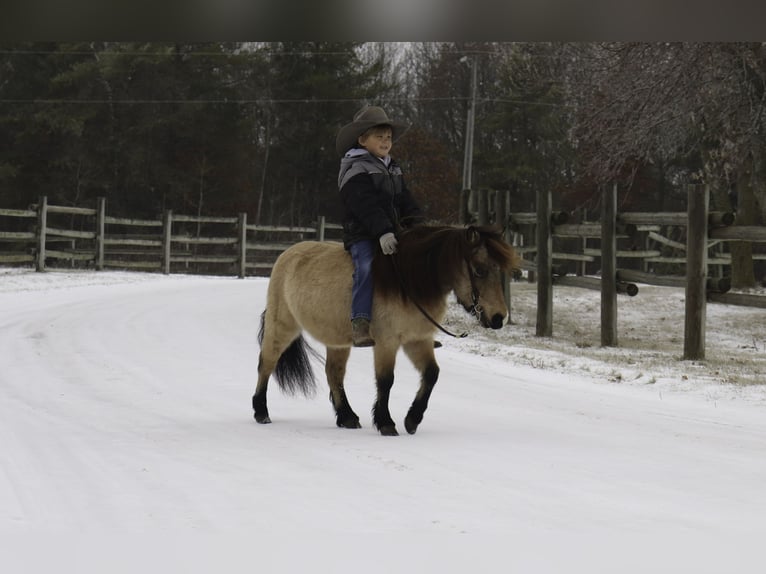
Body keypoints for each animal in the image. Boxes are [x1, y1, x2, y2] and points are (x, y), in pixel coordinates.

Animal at [255, 225, 520, 436]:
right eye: (479, 270)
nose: (498, 318)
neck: (410, 283)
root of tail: (287, 255)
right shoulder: (387, 342)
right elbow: (386, 380)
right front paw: (386, 422)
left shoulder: (418, 340)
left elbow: (431, 374)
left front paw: (412, 419)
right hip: (282, 326)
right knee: (267, 363)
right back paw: (261, 411)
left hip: (338, 340)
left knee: (334, 374)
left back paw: (347, 417)